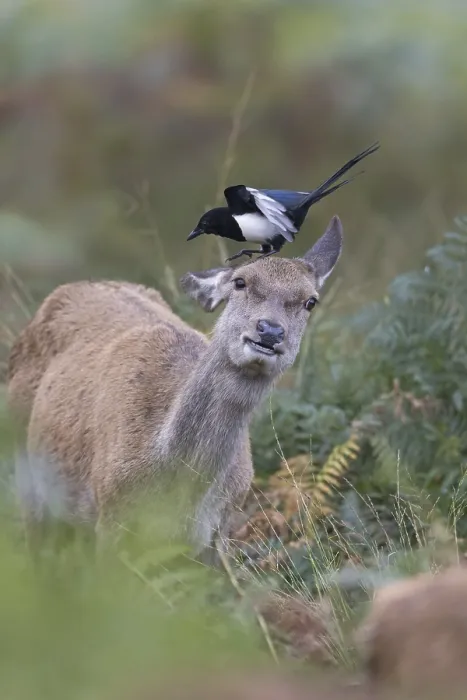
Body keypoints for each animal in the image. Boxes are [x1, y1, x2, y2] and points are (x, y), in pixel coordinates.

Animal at [7, 216, 343, 560]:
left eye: (310, 301)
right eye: (241, 282)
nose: (270, 331)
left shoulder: (219, 531)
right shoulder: (109, 513)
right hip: (24, 461)